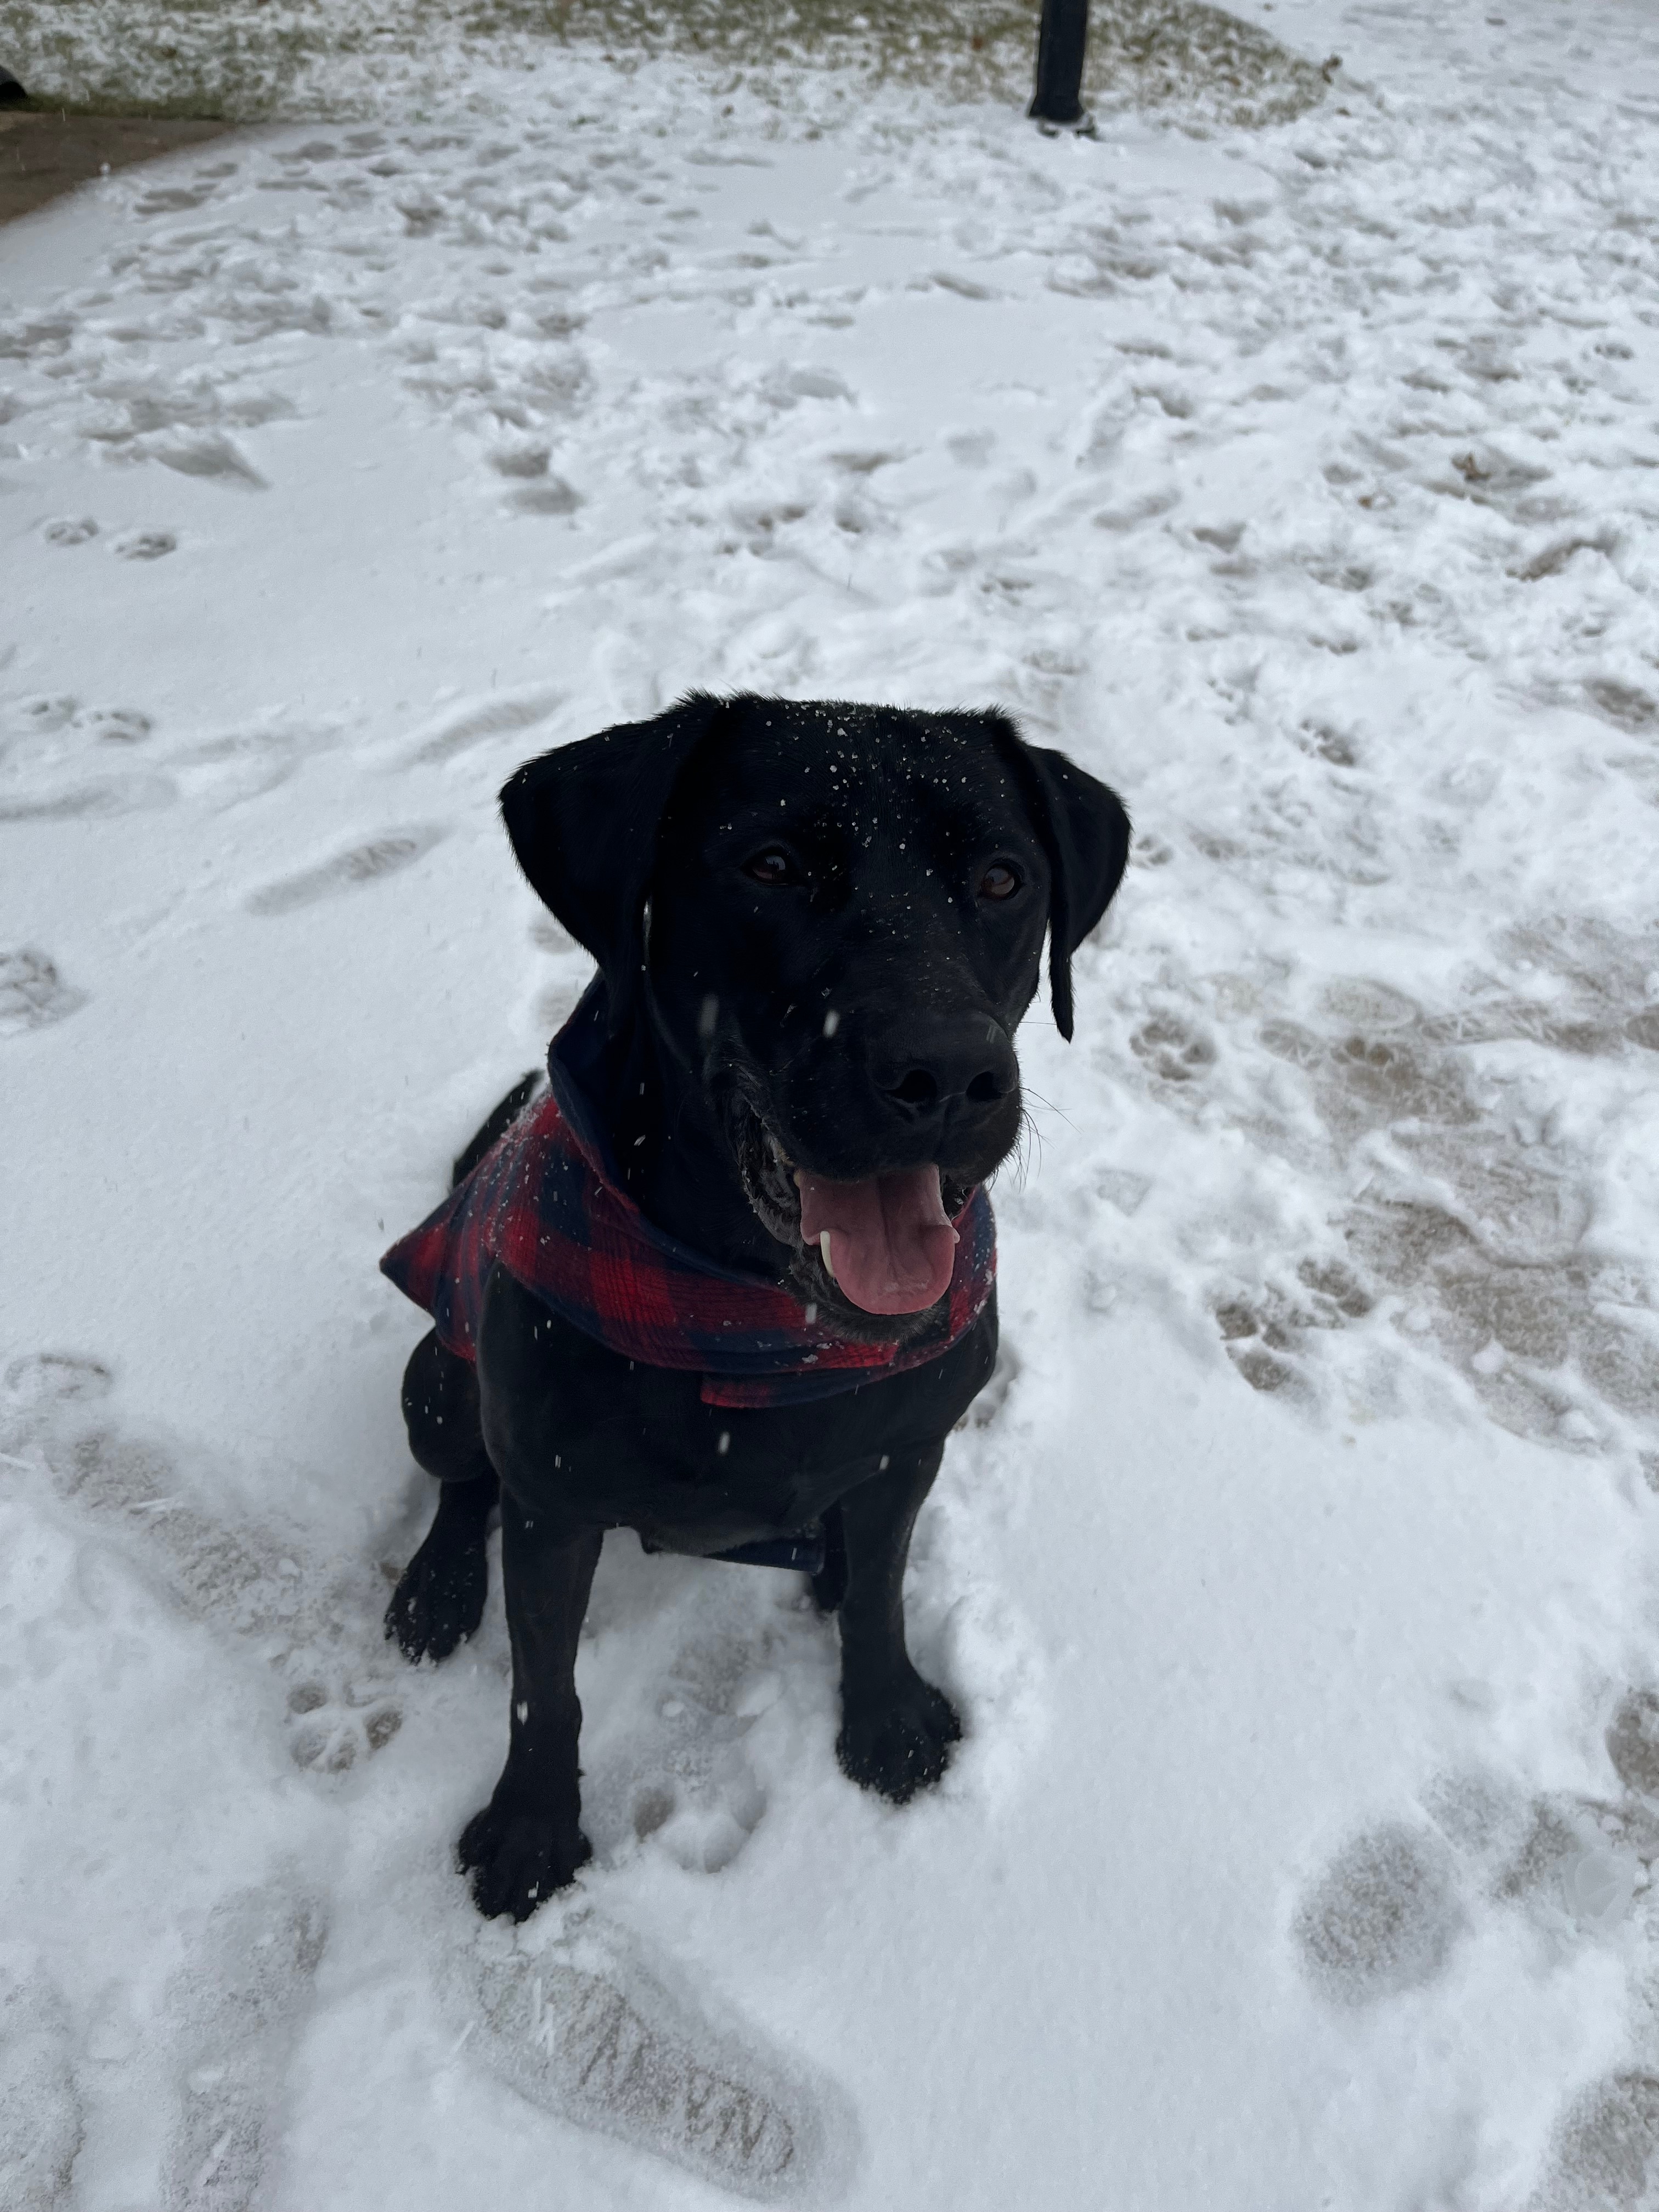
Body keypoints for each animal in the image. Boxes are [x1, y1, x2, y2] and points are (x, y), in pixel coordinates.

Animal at [382, 690, 1132, 1920]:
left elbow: (880, 1593)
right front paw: (532, 1830)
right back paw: (437, 1586)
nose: (946, 1075)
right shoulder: (554, 1503)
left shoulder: (908, 1447)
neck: (761, 1325)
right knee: (461, 1481)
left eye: (1001, 879)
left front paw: (885, 1718)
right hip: (436, 1389)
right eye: (771, 865)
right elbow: (545, 1684)